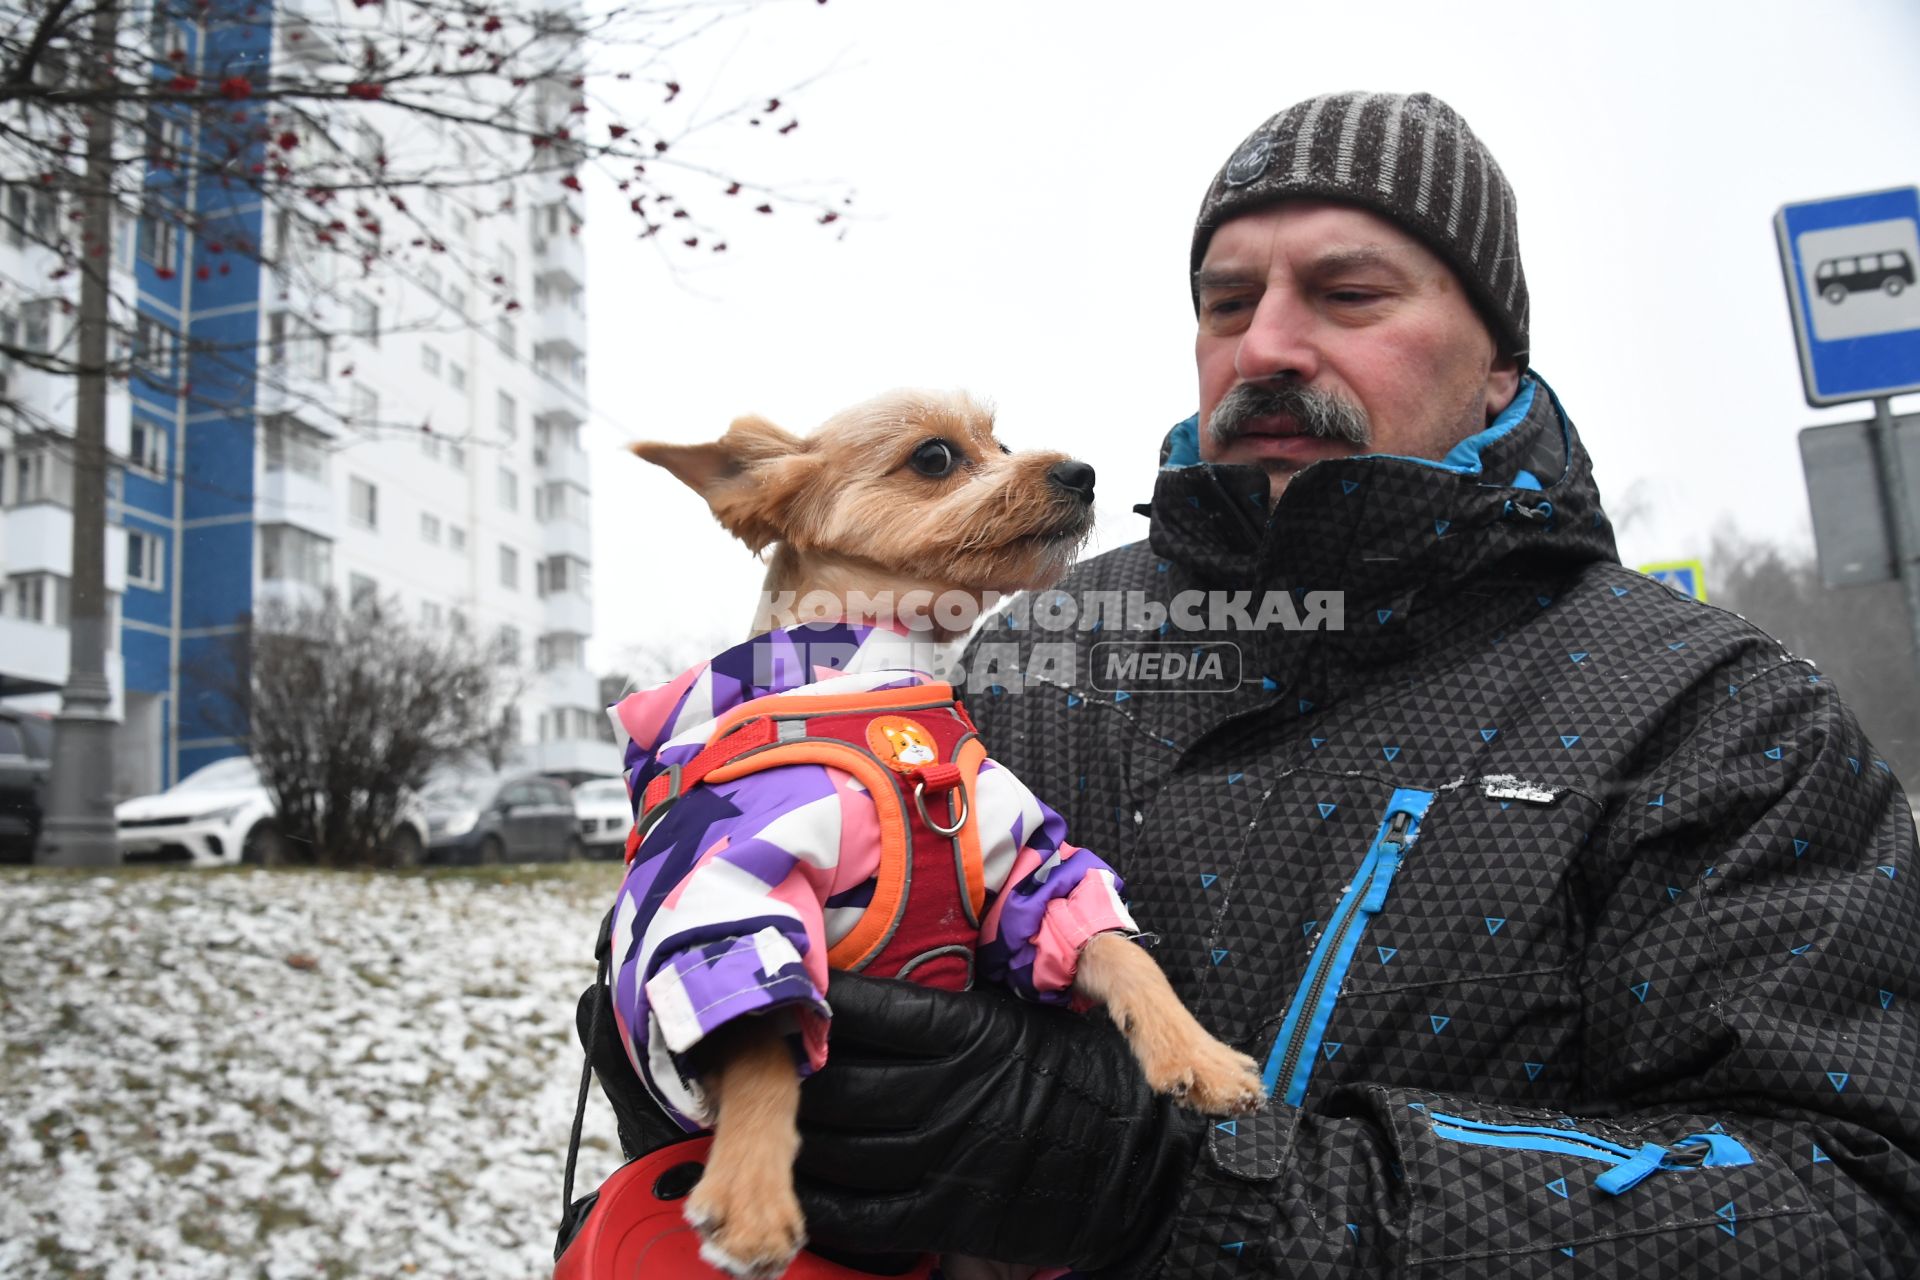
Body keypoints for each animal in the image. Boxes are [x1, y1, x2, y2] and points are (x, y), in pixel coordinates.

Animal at [622, 393, 1267, 1280]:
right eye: (934, 457)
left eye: (1001, 441)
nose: (1082, 472)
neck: (885, 688)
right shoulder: (720, 880)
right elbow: (757, 1029)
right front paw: (751, 1191)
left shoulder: (1030, 870)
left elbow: (1116, 949)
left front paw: (1198, 1056)